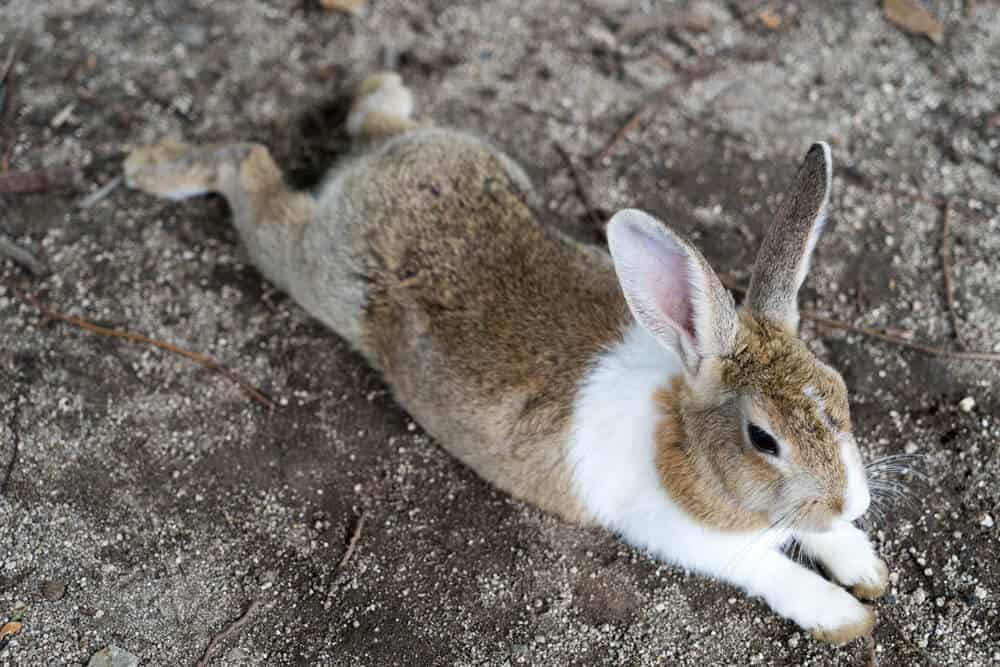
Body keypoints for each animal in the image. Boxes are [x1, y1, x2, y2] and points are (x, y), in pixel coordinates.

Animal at [123, 71, 887, 644]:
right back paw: (149, 166)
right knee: (249, 166)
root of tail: (377, 169)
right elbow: (772, 570)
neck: (688, 444)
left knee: (370, 122)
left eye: (838, 391)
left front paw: (866, 565)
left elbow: (824, 539)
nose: (852, 499)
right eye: (763, 439)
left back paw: (381, 88)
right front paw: (846, 615)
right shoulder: (697, 541)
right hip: (314, 271)